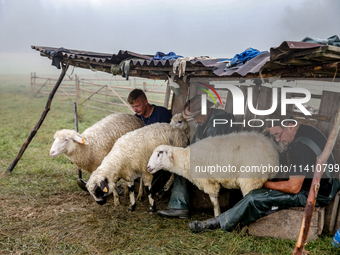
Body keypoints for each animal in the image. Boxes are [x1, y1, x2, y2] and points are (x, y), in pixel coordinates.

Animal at [147, 131, 280, 217]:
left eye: (160, 153)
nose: (148, 167)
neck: (186, 158)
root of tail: (273, 151)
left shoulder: (209, 183)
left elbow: (214, 202)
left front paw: (217, 216)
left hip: (251, 178)